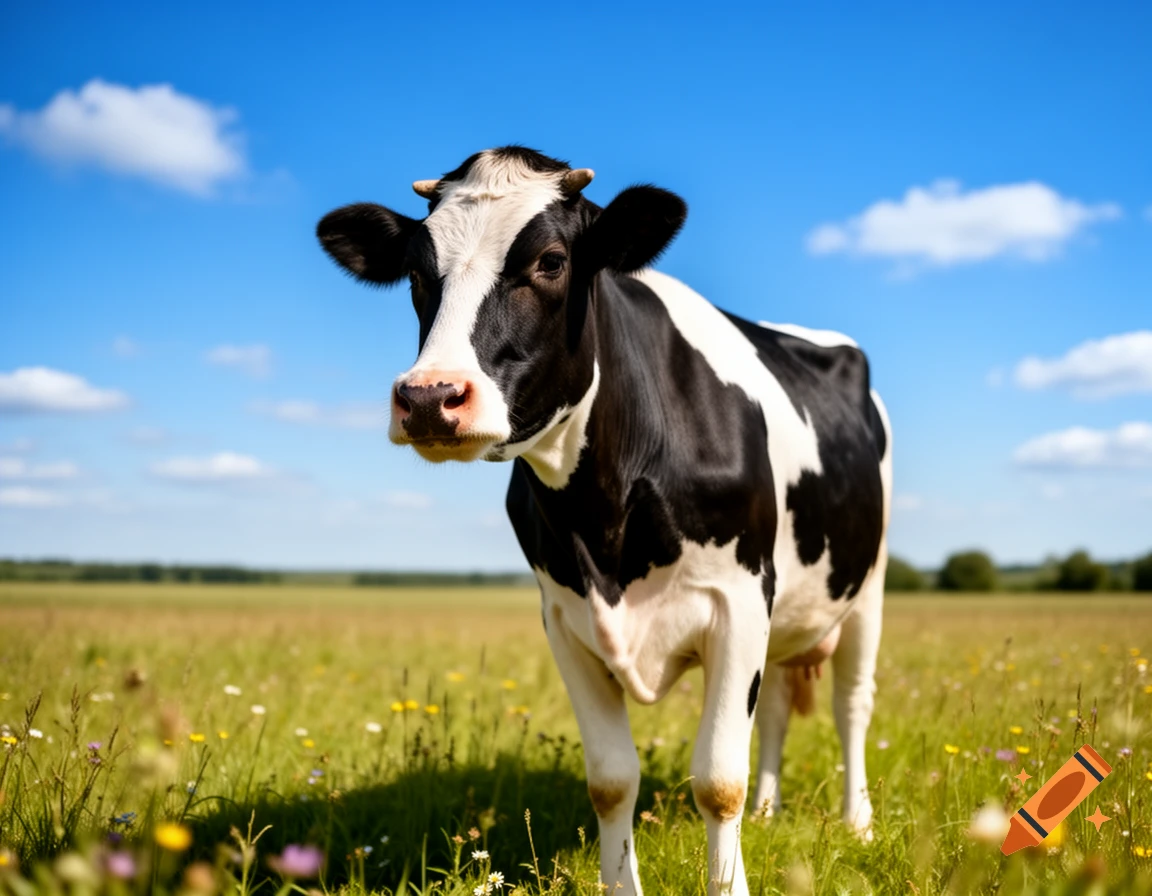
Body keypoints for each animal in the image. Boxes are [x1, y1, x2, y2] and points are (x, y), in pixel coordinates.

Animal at [316, 147, 891, 896]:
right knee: (773, 711)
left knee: (853, 704)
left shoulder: (739, 600)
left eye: (552, 261)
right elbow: (613, 780)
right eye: (416, 272)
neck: (605, 514)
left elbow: (718, 781)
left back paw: (859, 822)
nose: (429, 397)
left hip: (868, 585)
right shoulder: (565, 618)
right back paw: (770, 812)